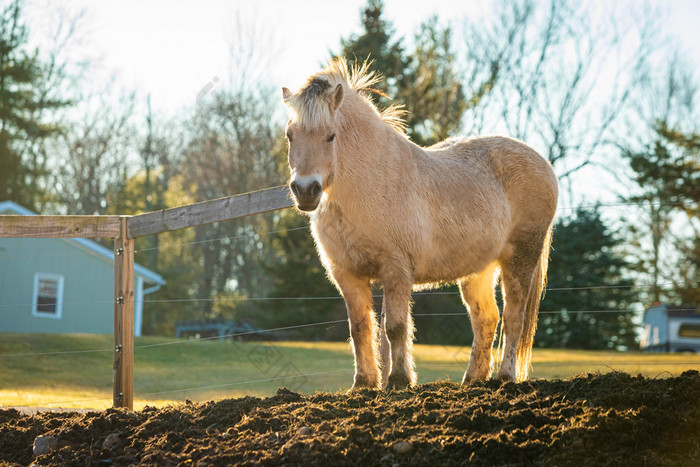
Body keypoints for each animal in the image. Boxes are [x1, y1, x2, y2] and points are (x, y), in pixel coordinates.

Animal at [280, 58, 556, 390]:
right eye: (290, 135)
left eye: (330, 136)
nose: (306, 190)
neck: (371, 181)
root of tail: (543, 164)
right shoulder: (347, 274)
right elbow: (360, 328)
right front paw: (364, 384)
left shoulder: (396, 270)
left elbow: (396, 327)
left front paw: (399, 380)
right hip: (479, 270)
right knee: (486, 319)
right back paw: (473, 380)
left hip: (521, 257)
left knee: (514, 316)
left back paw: (504, 377)